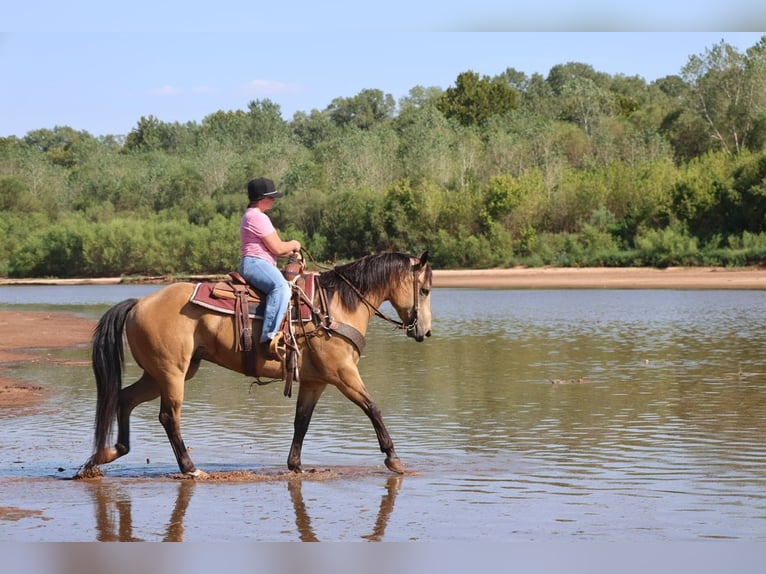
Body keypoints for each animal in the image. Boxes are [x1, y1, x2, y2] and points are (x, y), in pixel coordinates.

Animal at [75, 251, 432, 479]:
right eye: (426, 289)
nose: (425, 332)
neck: (335, 307)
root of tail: (139, 303)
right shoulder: (343, 375)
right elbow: (373, 408)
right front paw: (394, 460)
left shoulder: (315, 381)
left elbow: (301, 422)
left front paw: (296, 465)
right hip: (172, 373)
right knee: (168, 417)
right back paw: (189, 468)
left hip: (160, 374)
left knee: (124, 399)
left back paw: (104, 456)